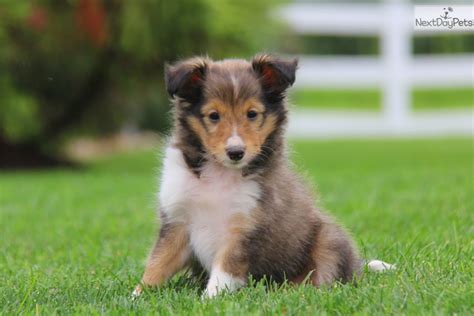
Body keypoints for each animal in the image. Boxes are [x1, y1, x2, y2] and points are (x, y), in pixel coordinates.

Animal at [132, 54, 392, 298]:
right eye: (214, 115)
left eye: (252, 114)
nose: (236, 152)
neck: (220, 174)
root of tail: (357, 266)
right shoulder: (177, 221)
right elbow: (157, 264)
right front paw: (137, 295)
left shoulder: (246, 229)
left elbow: (223, 272)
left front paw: (209, 300)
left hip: (328, 239)